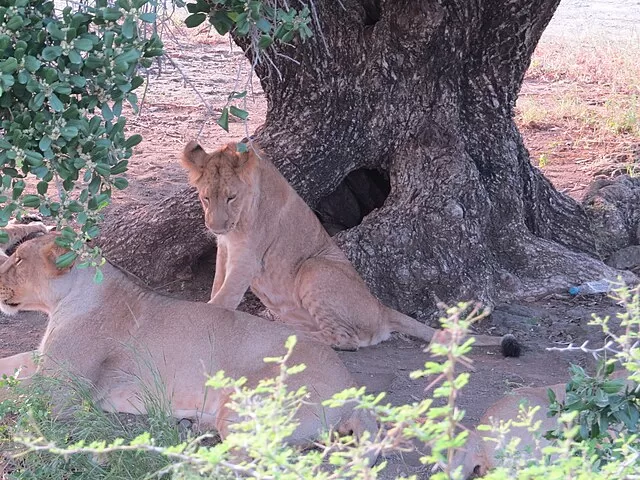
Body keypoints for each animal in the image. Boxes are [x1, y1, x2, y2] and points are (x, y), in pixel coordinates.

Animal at [0, 232, 378, 454]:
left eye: (17, 260)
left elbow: (13, 392)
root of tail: (354, 392)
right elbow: (10, 364)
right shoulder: (44, 361)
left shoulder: (62, 393)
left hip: (248, 408)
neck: (63, 303)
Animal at [180, 140, 520, 356]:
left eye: (231, 197)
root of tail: (381, 308)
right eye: (205, 198)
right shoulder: (226, 250)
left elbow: (223, 298)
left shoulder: (249, 256)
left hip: (315, 268)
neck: (236, 224)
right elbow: (217, 286)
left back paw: (288, 334)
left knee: (346, 340)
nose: (215, 227)